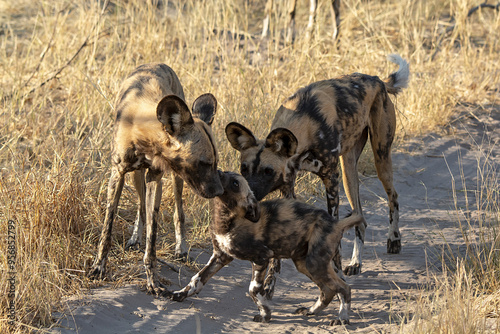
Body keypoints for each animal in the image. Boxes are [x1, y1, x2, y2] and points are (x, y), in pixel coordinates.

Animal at [89, 62, 224, 294]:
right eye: (204, 163)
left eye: (215, 162)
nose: (220, 191)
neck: (143, 132)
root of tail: (157, 63)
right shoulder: (118, 174)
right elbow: (107, 229)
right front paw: (99, 268)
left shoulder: (155, 177)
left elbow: (152, 238)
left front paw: (153, 280)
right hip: (136, 177)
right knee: (140, 206)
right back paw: (135, 237)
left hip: (176, 178)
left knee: (179, 212)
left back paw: (181, 248)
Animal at [169, 171, 364, 324]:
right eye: (224, 172)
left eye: (235, 183)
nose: (216, 171)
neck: (226, 220)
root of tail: (336, 223)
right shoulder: (220, 256)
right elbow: (197, 279)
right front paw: (179, 295)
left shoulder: (262, 257)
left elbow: (253, 289)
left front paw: (265, 315)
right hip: (304, 264)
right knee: (328, 290)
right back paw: (311, 311)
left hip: (315, 263)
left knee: (343, 288)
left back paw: (342, 318)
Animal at [227, 55, 410, 284]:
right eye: (244, 169)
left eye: (268, 171)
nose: (249, 196)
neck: (306, 124)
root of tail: (377, 79)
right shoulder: (288, 186)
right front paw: (269, 283)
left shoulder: (331, 179)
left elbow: (336, 236)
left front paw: (336, 271)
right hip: (348, 171)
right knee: (360, 216)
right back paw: (356, 263)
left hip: (380, 158)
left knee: (393, 196)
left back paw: (394, 239)